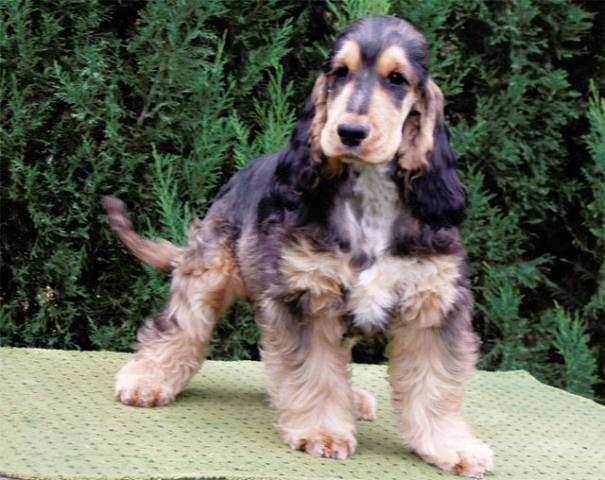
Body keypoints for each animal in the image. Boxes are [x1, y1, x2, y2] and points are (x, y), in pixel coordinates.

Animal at [104, 14, 494, 476]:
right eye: (340, 73)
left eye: (397, 80)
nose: (349, 131)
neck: (370, 198)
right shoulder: (308, 297)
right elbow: (315, 372)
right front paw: (323, 432)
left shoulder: (432, 305)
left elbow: (435, 385)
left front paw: (452, 446)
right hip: (208, 269)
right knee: (179, 326)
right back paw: (147, 380)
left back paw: (354, 400)